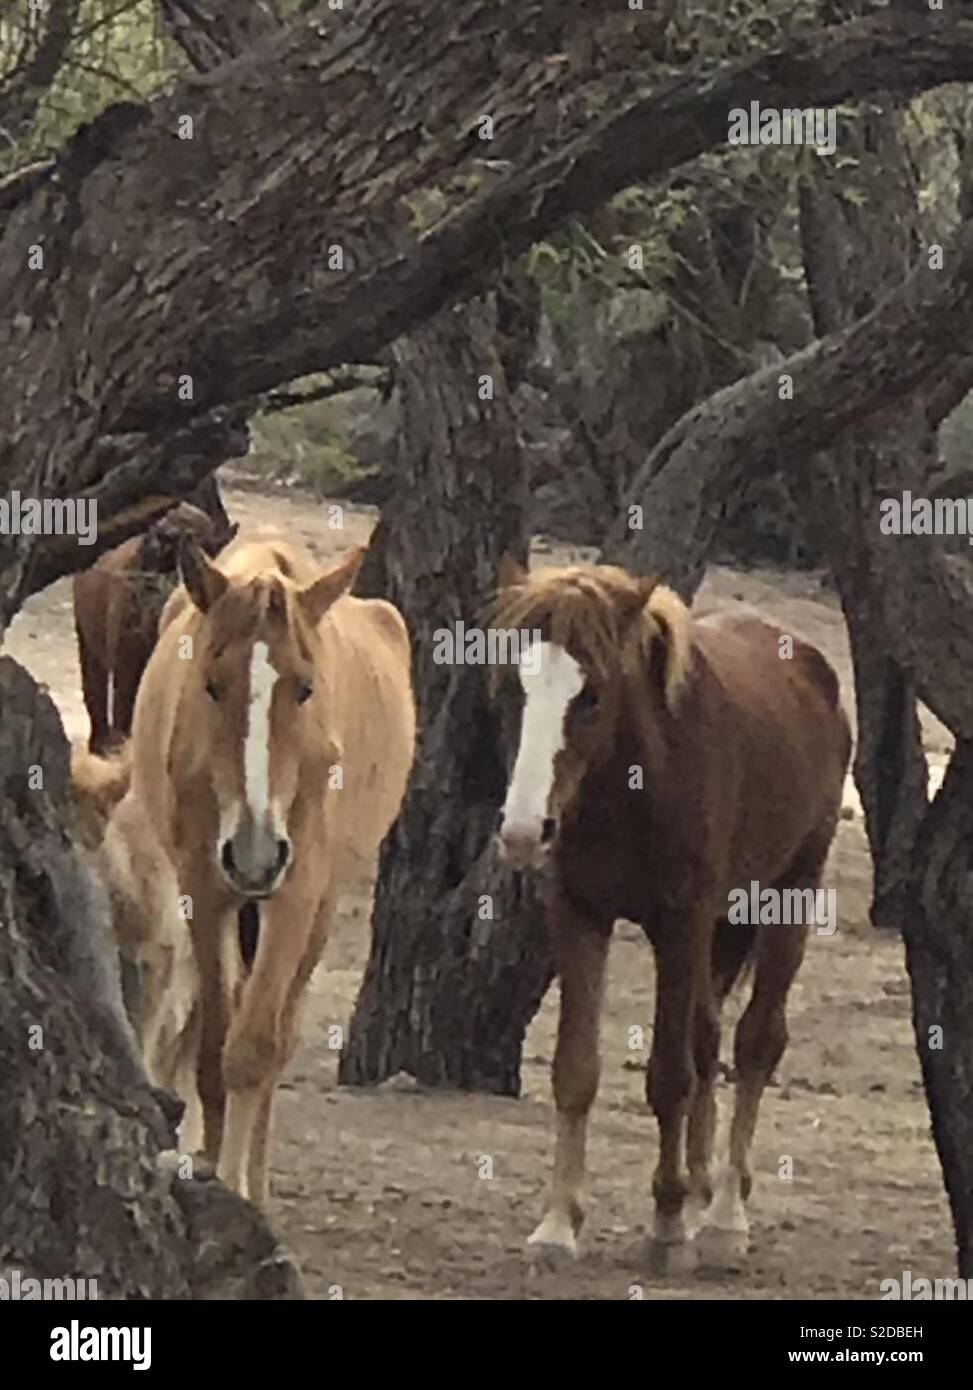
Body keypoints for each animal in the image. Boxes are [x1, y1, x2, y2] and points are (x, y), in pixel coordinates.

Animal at [118, 530, 414, 1206]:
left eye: (305, 687)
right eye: (211, 683)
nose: (255, 854)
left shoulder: (296, 894)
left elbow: (253, 1049)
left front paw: (237, 1191)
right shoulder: (204, 889)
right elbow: (211, 1051)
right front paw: (208, 1168)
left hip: (319, 908)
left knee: (279, 1037)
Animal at [494, 561, 850, 1273]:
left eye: (591, 695)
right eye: (514, 687)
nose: (522, 832)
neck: (633, 786)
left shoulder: (680, 925)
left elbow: (669, 1075)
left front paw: (667, 1223)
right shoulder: (579, 916)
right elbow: (577, 1071)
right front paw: (559, 1224)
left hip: (788, 896)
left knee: (755, 1043)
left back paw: (723, 1218)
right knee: (709, 1040)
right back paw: (702, 1185)